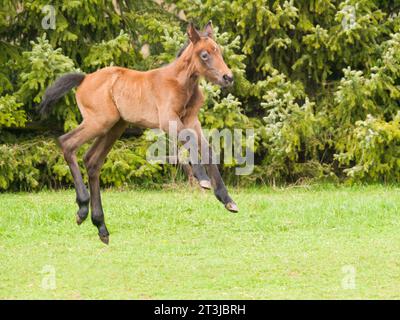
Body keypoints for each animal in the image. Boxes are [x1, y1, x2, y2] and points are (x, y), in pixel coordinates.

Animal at [39, 21, 238, 242]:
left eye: (219, 51)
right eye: (204, 55)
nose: (228, 77)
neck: (180, 83)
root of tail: (85, 78)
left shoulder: (192, 121)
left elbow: (207, 150)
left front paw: (227, 199)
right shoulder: (168, 121)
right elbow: (192, 142)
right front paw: (202, 179)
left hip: (115, 127)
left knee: (92, 161)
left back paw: (100, 226)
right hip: (99, 122)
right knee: (67, 143)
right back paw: (82, 208)